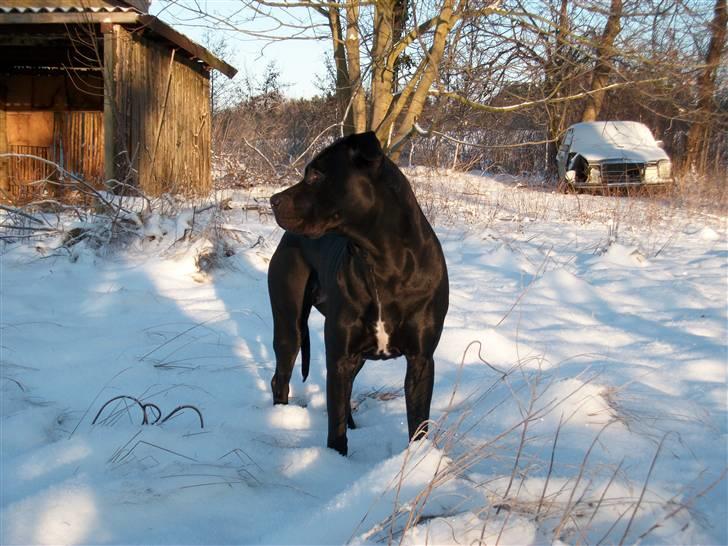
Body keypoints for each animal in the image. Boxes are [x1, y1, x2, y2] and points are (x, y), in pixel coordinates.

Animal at [268, 132, 450, 454]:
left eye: (315, 175)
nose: (273, 201)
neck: (382, 262)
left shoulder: (421, 360)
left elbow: (418, 423)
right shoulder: (339, 354)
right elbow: (335, 425)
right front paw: (336, 459)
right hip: (290, 326)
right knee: (281, 378)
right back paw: (280, 418)